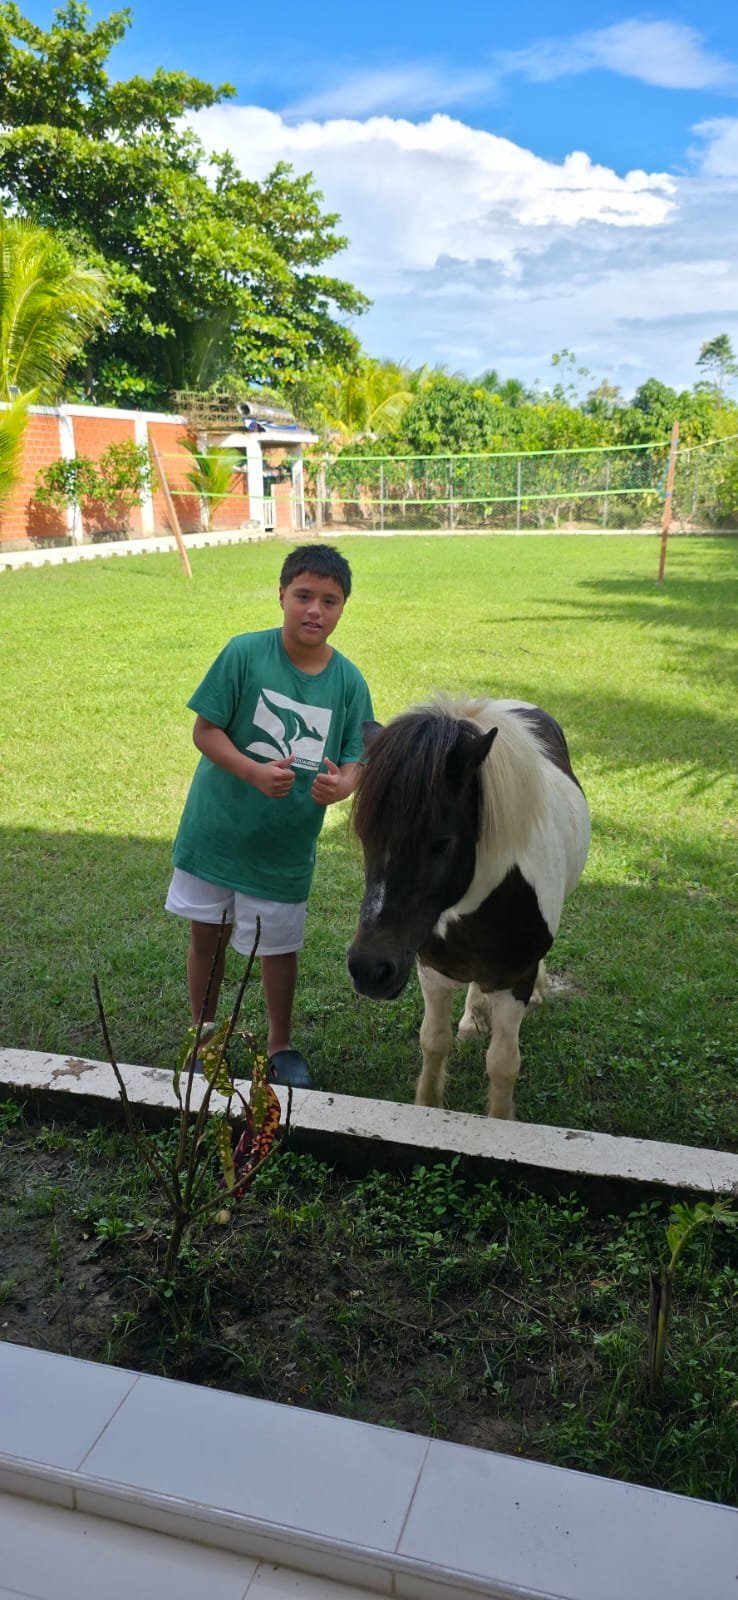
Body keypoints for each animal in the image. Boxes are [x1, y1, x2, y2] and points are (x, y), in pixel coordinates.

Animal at [347, 697, 591, 1119]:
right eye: (365, 835)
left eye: (441, 842)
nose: (369, 970)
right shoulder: (431, 969)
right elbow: (433, 1040)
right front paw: (427, 1104)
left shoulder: (513, 980)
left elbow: (503, 1063)